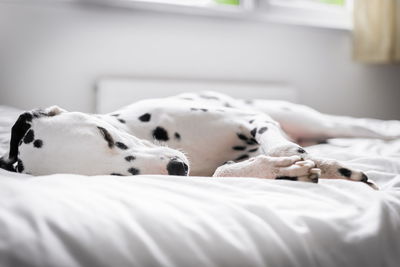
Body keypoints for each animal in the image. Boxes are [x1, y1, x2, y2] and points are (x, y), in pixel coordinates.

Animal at [0, 91, 378, 189]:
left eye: (103, 133)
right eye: (112, 174)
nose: (177, 167)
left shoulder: (250, 119)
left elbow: (273, 137)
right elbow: (222, 172)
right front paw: (280, 170)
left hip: (317, 121)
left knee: (366, 130)